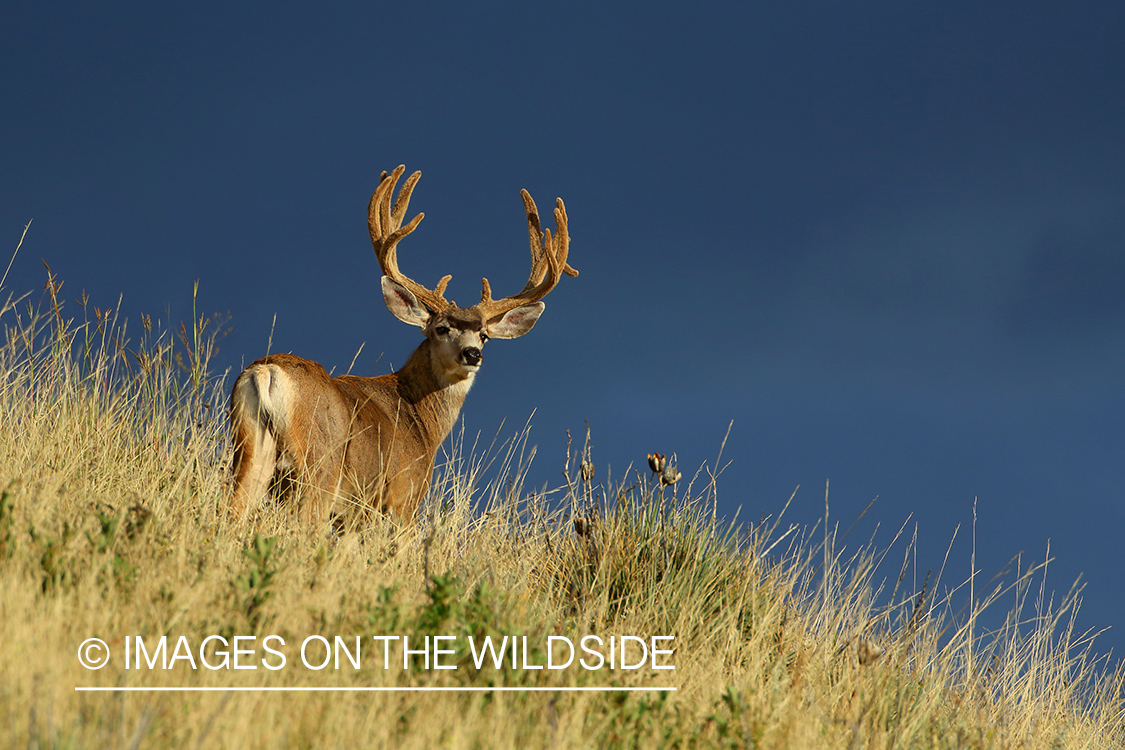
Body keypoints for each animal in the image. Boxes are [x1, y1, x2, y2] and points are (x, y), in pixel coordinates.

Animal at [228, 165, 577, 526]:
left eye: (484, 335)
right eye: (441, 328)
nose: (472, 354)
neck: (421, 419)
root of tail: (267, 372)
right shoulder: (403, 495)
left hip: (252, 452)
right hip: (320, 466)